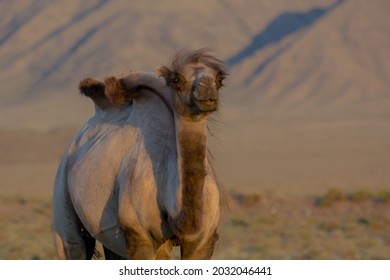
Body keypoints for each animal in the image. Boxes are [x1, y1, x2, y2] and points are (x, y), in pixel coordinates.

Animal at [52, 48, 229, 260]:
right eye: (176, 79)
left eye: (219, 79)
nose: (207, 88)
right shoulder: (138, 232)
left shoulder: (204, 240)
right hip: (62, 194)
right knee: (72, 244)